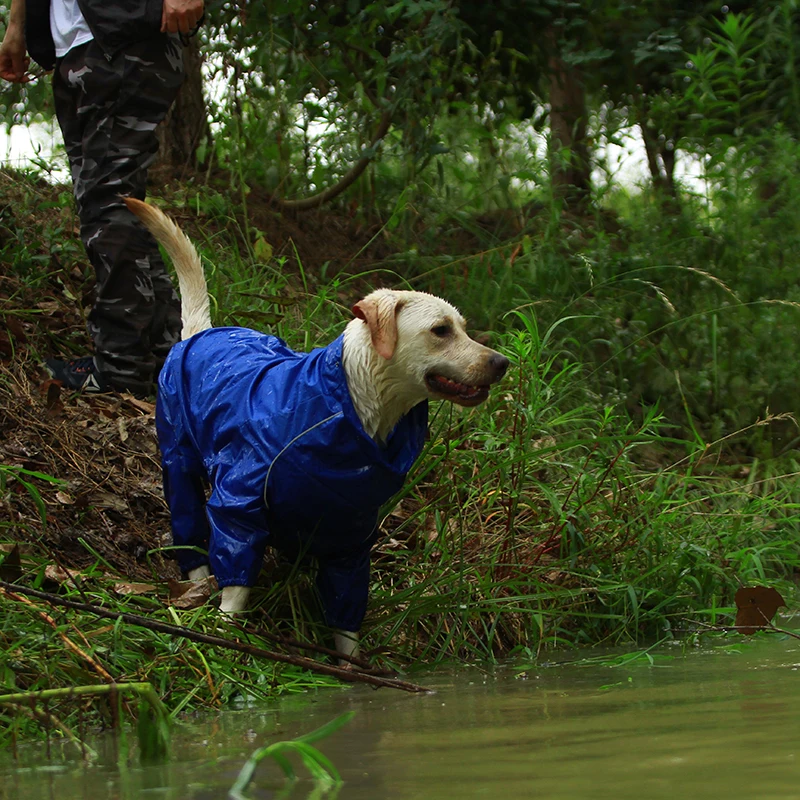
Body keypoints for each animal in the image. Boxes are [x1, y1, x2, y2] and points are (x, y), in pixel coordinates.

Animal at [128, 197, 510, 660]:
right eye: (441, 330)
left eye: (464, 328)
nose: (503, 362)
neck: (347, 407)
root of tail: (202, 332)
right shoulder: (239, 502)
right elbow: (236, 580)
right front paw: (224, 627)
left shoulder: (351, 534)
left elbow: (346, 610)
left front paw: (351, 661)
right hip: (178, 458)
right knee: (187, 522)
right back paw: (197, 578)